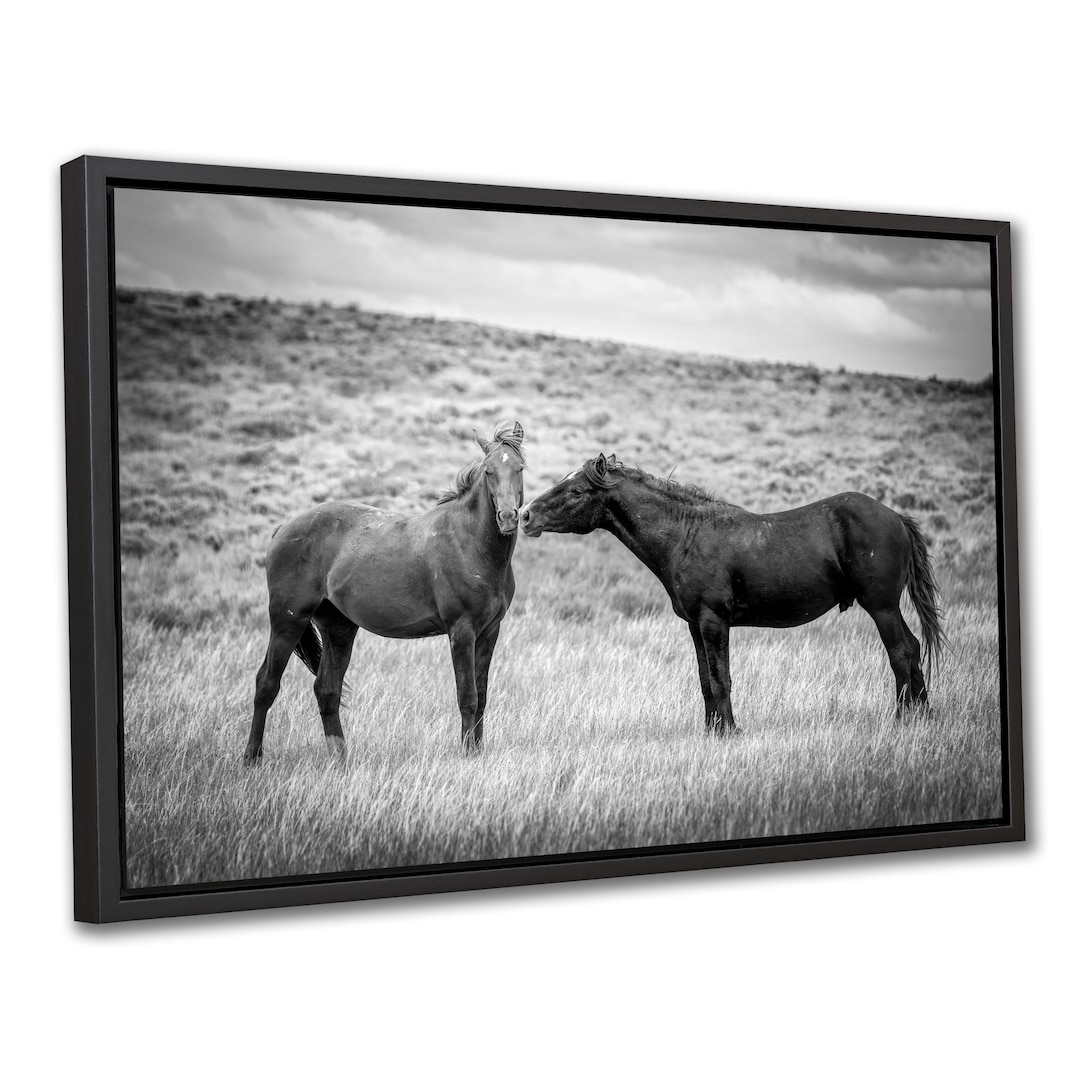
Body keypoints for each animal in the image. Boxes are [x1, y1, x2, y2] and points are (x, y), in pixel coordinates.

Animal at [243, 420, 526, 764]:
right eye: (488, 471)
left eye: (519, 468)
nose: (508, 517)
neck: (469, 543)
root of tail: (283, 528)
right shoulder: (462, 632)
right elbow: (468, 696)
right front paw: (467, 756)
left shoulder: (488, 632)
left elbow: (482, 695)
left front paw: (477, 751)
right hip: (288, 621)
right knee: (266, 684)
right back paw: (252, 756)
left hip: (338, 628)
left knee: (326, 690)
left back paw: (341, 760)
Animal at [519, 452, 945, 735]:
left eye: (576, 490)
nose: (524, 515)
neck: (686, 536)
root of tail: (896, 517)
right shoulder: (695, 625)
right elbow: (705, 679)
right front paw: (713, 730)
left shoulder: (714, 621)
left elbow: (721, 676)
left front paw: (729, 731)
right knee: (910, 650)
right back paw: (924, 716)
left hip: (882, 607)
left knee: (902, 651)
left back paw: (905, 719)